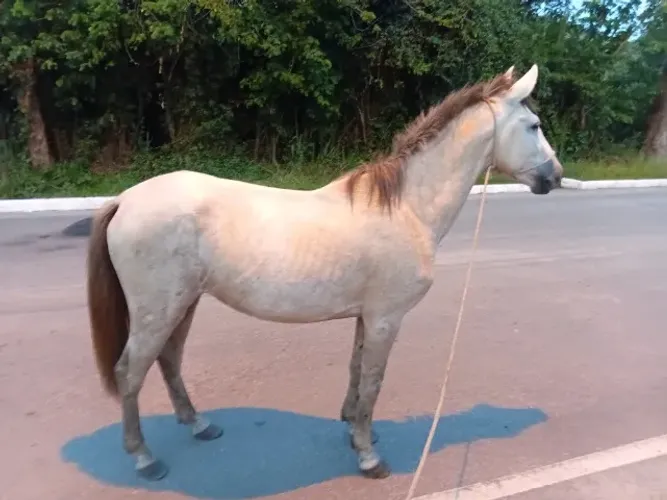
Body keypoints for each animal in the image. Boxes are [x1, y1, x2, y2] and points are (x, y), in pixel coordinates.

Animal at [86, 64, 563, 482]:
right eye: (534, 125)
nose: (554, 177)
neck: (407, 208)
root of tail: (124, 200)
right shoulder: (386, 319)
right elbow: (372, 383)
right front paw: (370, 458)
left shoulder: (365, 317)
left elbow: (355, 373)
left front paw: (354, 431)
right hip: (158, 310)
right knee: (130, 372)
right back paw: (145, 459)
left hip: (183, 305)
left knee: (168, 359)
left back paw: (200, 425)